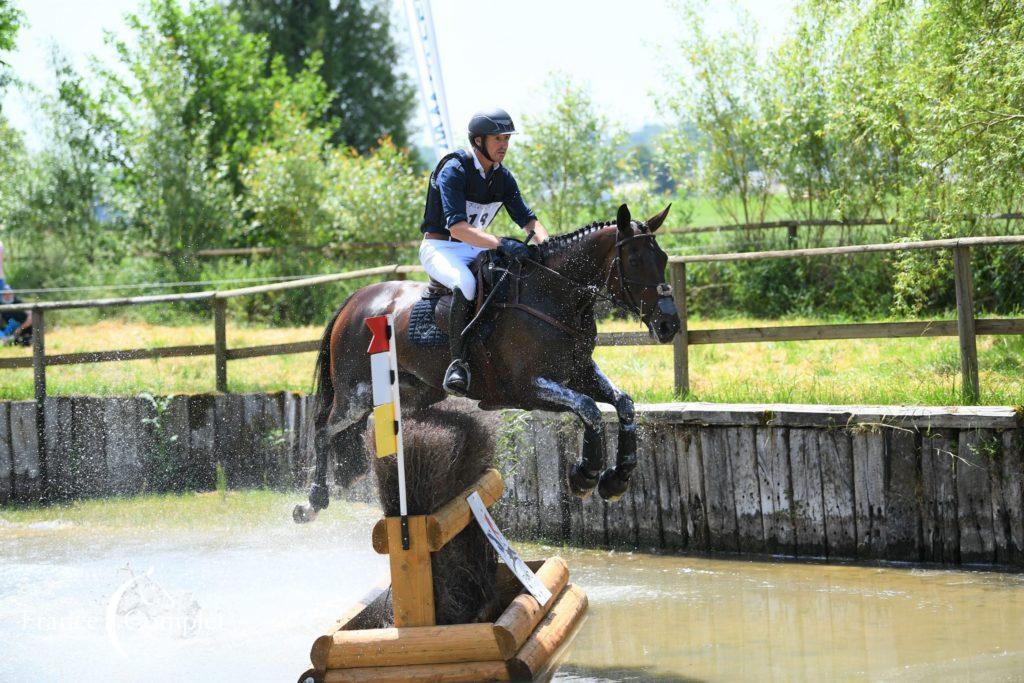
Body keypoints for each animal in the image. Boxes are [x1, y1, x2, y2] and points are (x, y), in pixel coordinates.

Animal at [294, 202, 679, 524]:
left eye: (662, 258)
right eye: (635, 261)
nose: (669, 325)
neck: (555, 296)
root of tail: (355, 300)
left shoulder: (579, 374)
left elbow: (623, 404)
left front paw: (616, 479)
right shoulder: (529, 389)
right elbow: (590, 409)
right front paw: (585, 475)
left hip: (416, 391)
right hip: (356, 396)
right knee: (324, 429)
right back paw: (312, 502)